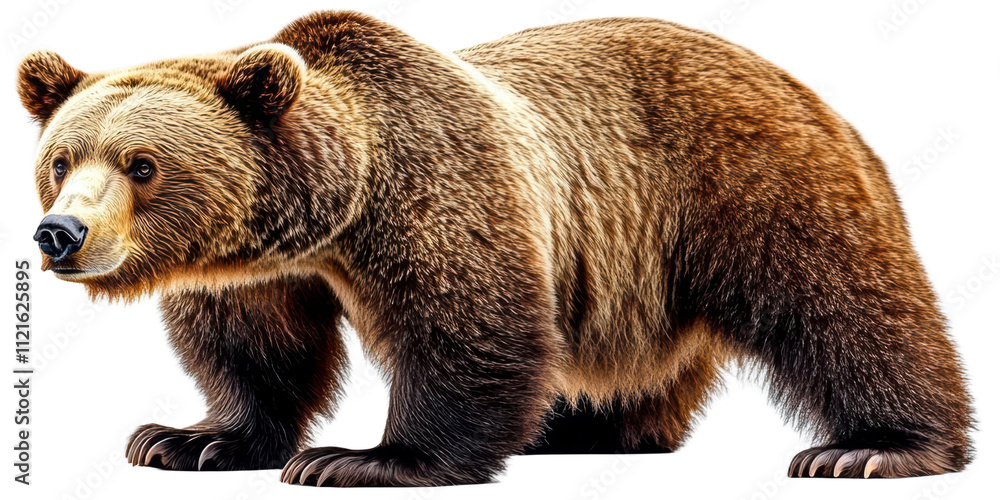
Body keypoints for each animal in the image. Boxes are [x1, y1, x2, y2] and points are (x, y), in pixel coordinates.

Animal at [19, 12, 972, 486]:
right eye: (62, 159)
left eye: (142, 163)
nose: (60, 232)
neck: (330, 213)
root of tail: (799, 80)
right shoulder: (251, 273)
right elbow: (254, 351)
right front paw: (188, 439)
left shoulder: (435, 190)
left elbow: (467, 323)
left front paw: (362, 458)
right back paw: (584, 428)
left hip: (748, 180)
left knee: (842, 303)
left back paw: (872, 447)